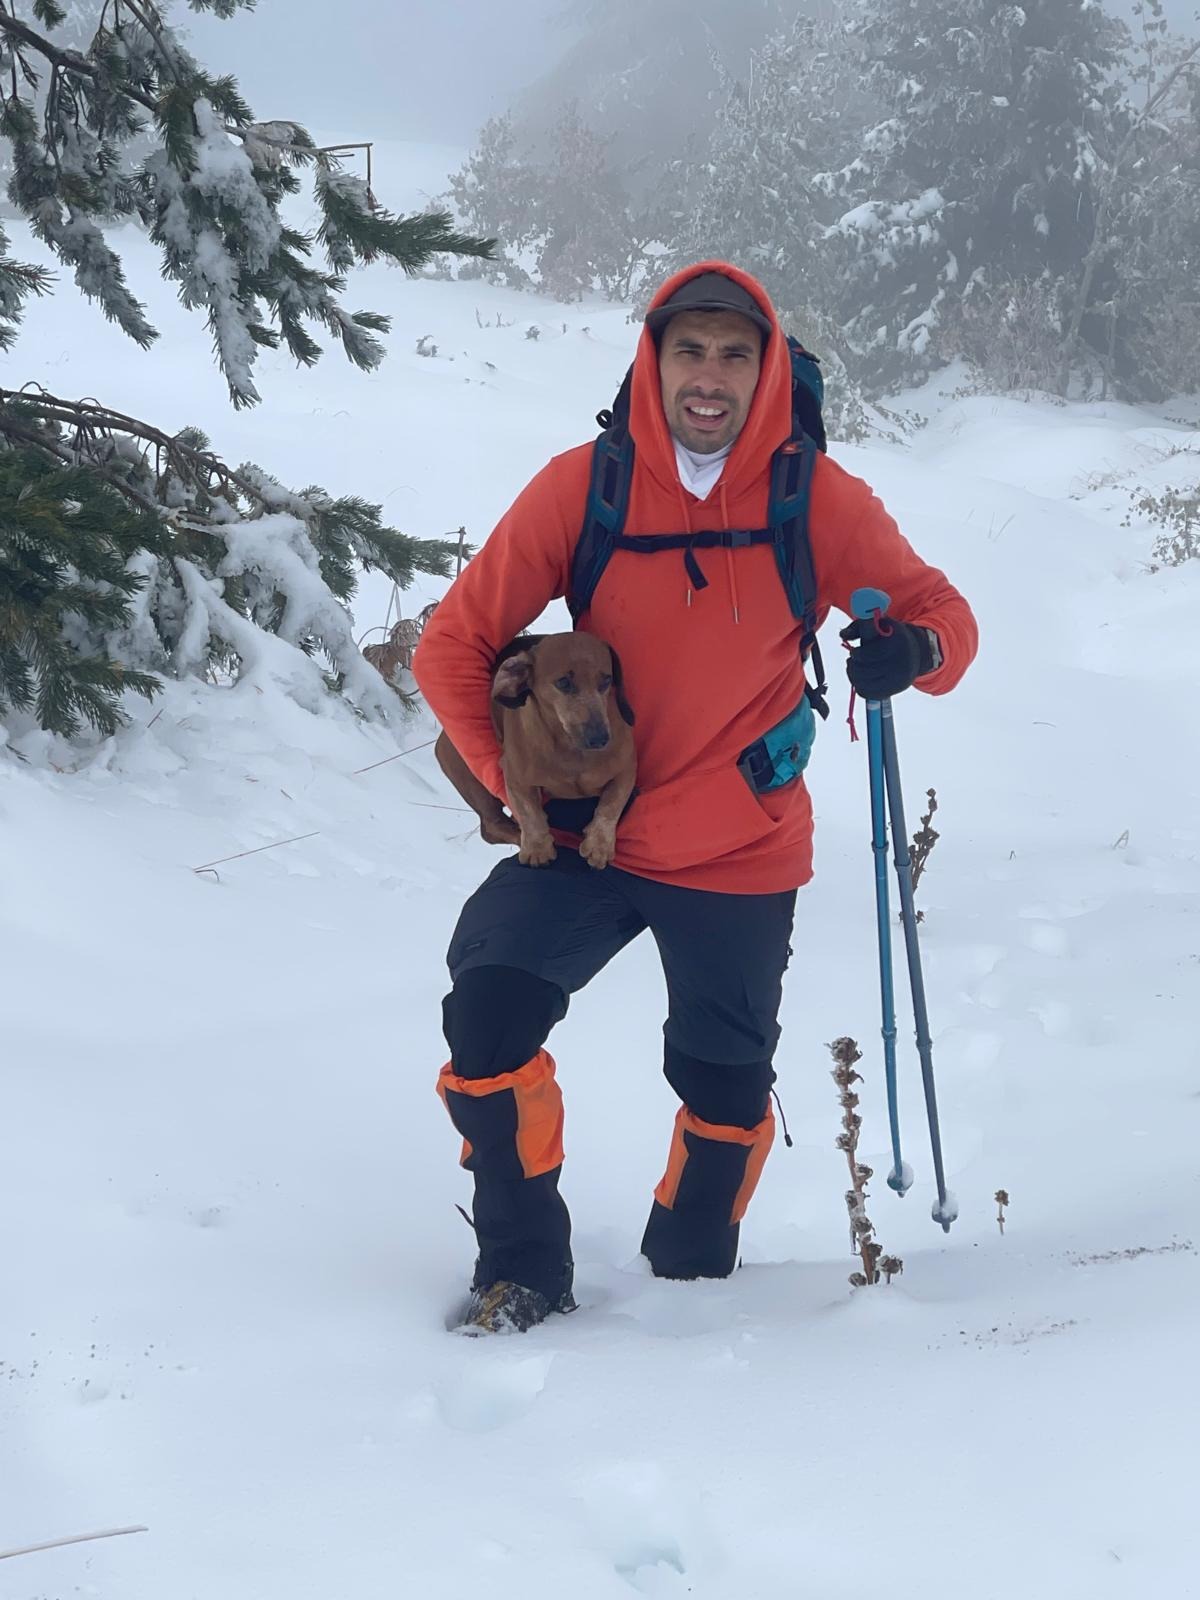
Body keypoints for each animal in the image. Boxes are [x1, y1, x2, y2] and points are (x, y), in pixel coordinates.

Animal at [434, 632, 636, 869]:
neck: (571, 751)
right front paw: (537, 848)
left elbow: (611, 804)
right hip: (472, 777)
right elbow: (529, 812)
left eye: (606, 680)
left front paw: (599, 844)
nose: (600, 739)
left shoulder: (627, 770)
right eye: (564, 682)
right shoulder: (514, 778)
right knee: (491, 826)